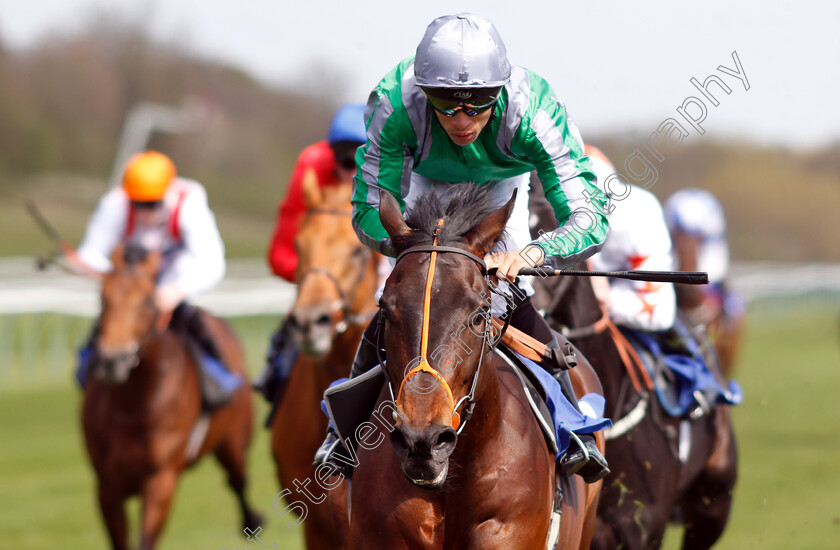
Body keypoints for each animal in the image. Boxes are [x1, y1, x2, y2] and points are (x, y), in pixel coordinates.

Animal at [82, 246, 260, 550]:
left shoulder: (160, 480)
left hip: (234, 440)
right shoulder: (107, 487)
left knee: (238, 479)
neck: (135, 404)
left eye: (147, 301)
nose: (112, 362)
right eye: (102, 297)